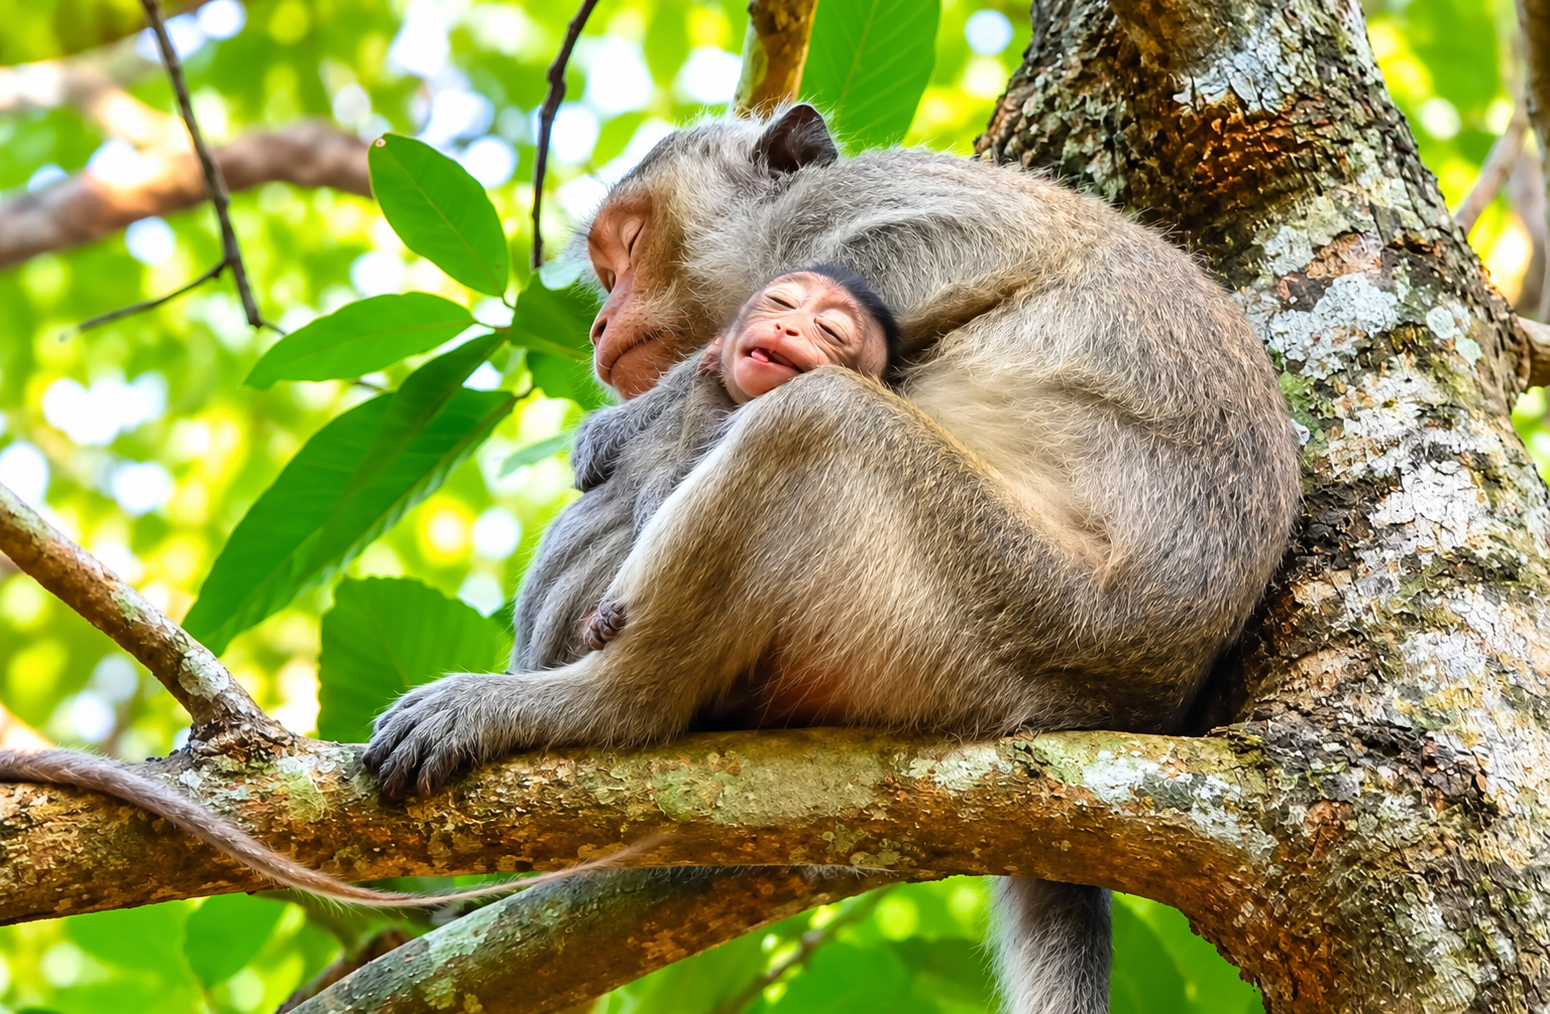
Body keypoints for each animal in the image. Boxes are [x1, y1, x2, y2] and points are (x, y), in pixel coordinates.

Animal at [362, 105, 1301, 1014]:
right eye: (606, 267)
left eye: (629, 246)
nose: (599, 320)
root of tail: (1117, 704)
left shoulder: (859, 205)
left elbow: (937, 254)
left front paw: (629, 424)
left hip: (1011, 614)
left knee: (814, 422)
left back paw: (590, 703)